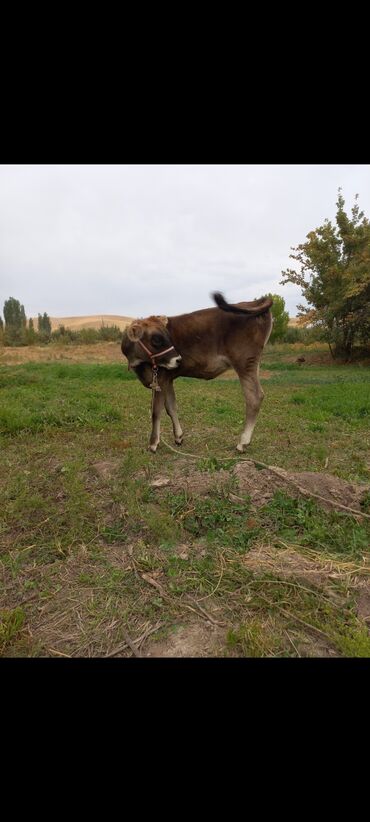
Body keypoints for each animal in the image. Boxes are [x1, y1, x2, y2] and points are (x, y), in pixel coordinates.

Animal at [120, 292, 272, 454]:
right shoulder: (168, 379)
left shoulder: (159, 380)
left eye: (167, 336)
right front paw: (178, 437)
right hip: (253, 364)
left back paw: (242, 443)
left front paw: (153, 443)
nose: (178, 359)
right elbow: (171, 407)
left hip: (244, 363)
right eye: (156, 339)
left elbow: (156, 411)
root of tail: (252, 302)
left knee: (254, 397)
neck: (138, 364)